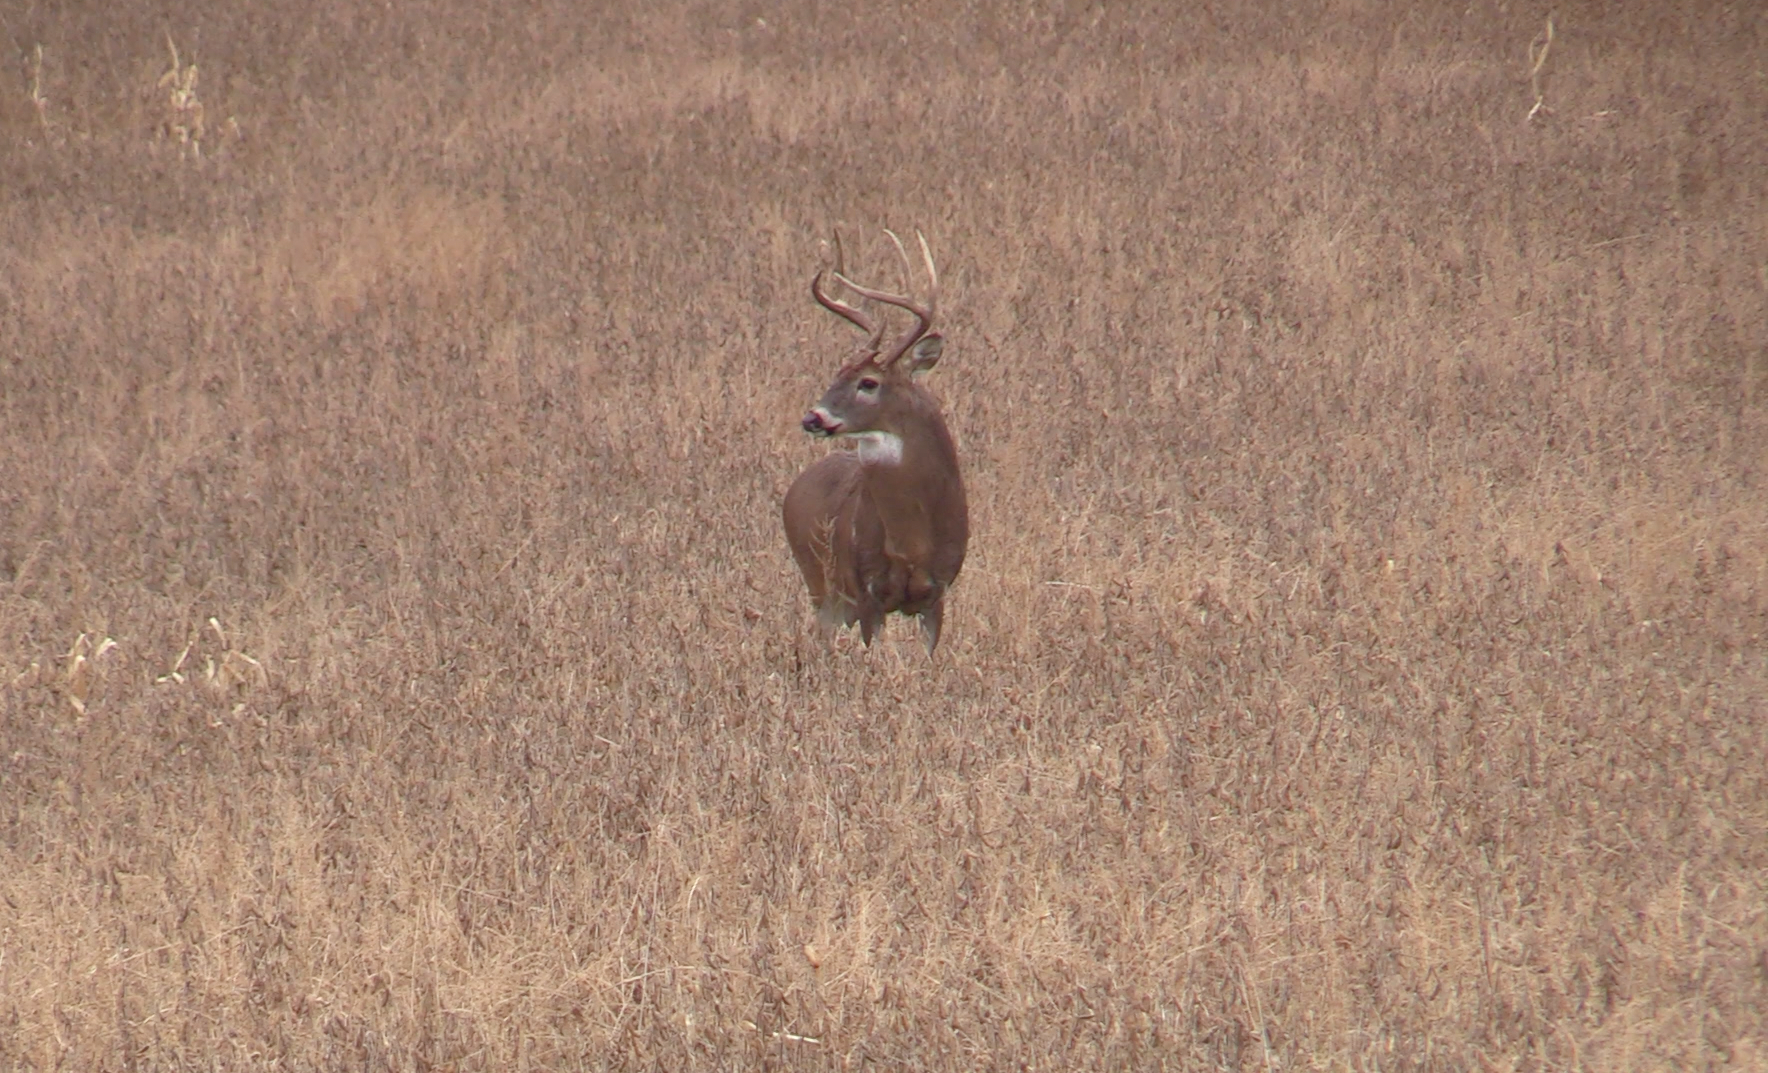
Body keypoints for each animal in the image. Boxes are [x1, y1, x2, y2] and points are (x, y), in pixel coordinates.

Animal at [784, 231, 968, 654]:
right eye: (835, 374)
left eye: (868, 382)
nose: (812, 418)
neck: (913, 541)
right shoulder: (866, 588)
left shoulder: (939, 591)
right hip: (819, 581)